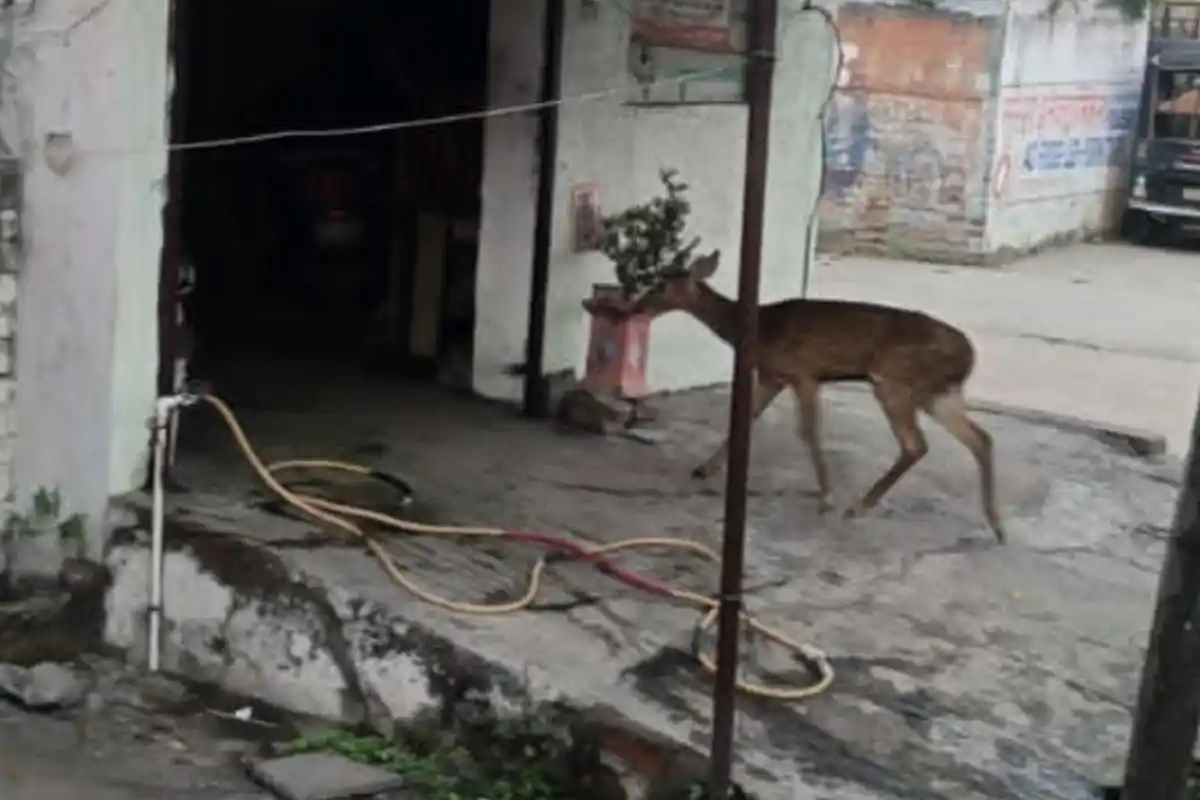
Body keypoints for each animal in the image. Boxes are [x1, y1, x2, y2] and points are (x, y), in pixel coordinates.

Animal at [630, 249, 1006, 544]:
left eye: (661, 285)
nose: (636, 306)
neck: (757, 329)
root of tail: (969, 356)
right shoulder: (772, 376)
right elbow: (746, 418)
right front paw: (704, 468)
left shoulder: (803, 373)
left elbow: (809, 431)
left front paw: (827, 495)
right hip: (937, 393)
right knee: (981, 438)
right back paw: (996, 525)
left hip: (895, 380)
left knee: (917, 444)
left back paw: (859, 506)